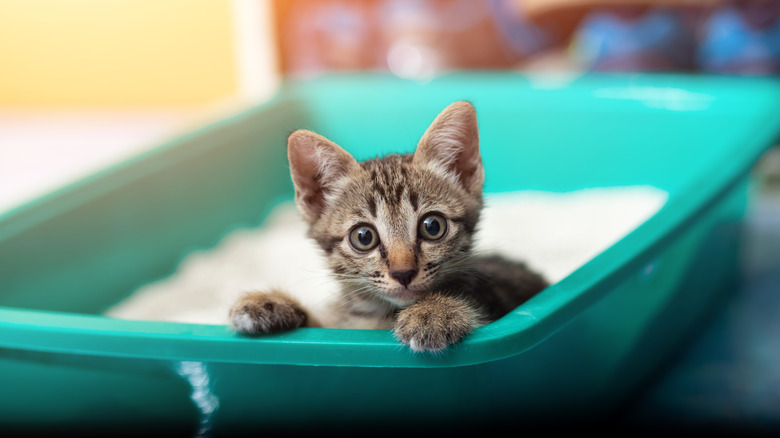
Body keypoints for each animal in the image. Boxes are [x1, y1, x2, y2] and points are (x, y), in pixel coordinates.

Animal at [230, 100, 548, 352]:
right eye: (363, 237)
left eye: (433, 226)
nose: (403, 273)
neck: (382, 316)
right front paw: (270, 303)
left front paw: (435, 311)